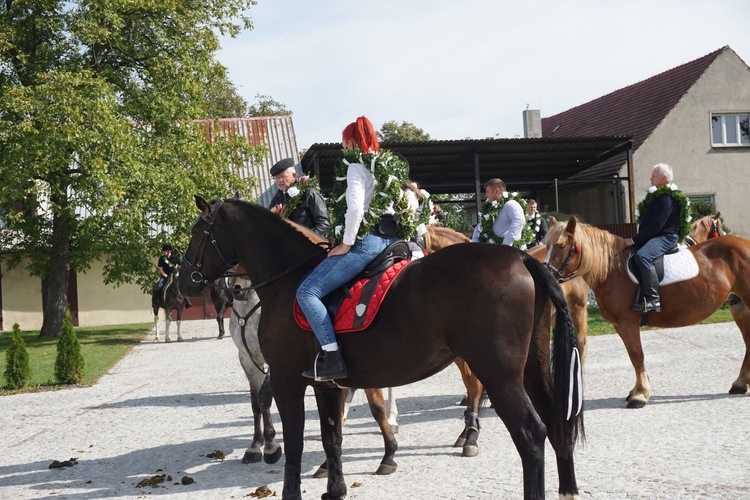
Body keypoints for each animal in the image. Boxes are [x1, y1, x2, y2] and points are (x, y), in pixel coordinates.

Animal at [182, 196, 588, 500]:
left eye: (197, 231)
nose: (187, 279)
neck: (288, 279)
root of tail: (521, 257)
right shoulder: (327, 384)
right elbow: (332, 436)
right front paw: (335, 488)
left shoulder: (286, 380)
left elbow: (295, 441)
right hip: (532, 366)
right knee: (556, 421)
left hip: (499, 374)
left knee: (530, 434)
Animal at [548, 217, 750, 408]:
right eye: (547, 245)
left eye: (561, 245)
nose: (548, 276)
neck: (613, 269)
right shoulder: (619, 325)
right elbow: (634, 357)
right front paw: (638, 390)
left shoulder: (628, 323)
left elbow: (637, 355)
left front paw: (640, 395)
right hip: (738, 307)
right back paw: (740, 384)